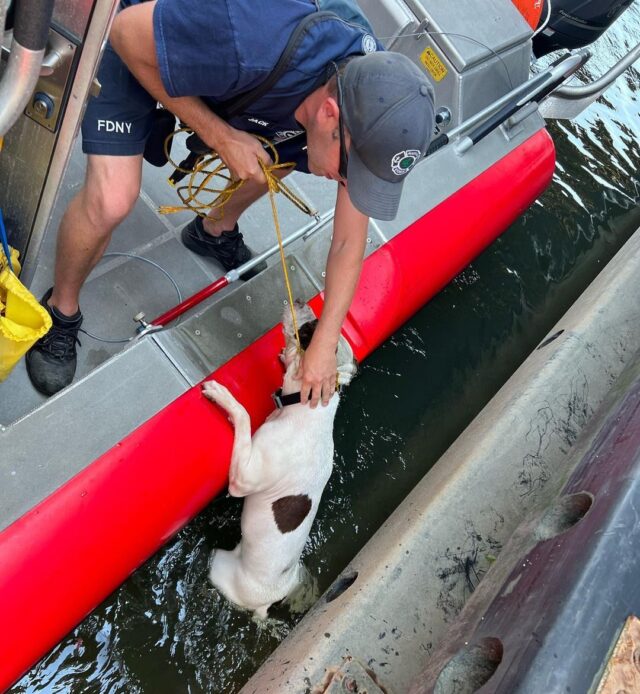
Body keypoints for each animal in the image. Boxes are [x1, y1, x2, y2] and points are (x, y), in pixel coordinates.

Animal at [202, 304, 358, 620]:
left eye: (309, 328)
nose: (300, 301)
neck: (307, 405)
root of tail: (266, 603)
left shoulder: (243, 477)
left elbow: (243, 415)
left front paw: (223, 397)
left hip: (219, 566)